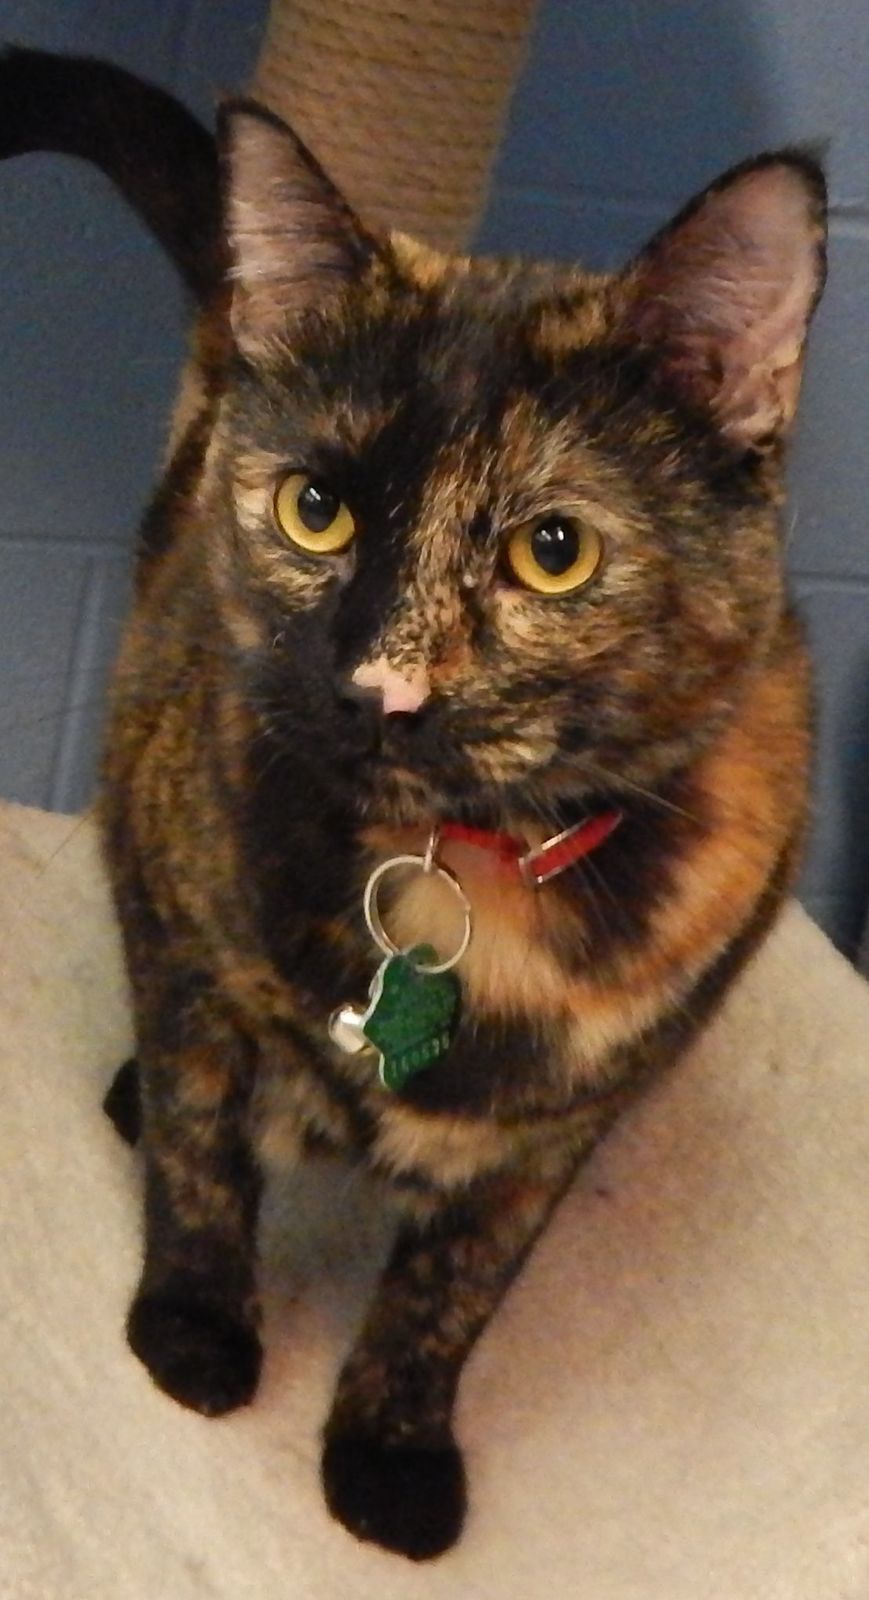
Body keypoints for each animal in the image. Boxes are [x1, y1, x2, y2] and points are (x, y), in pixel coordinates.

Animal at [1, 47, 826, 1561]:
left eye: (552, 552)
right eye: (315, 509)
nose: (379, 688)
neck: (454, 884)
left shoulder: (560, 1127)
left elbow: (453, 1290)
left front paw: (389, 1452)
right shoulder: (172, 880)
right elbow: (203, 1144)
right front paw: (195, 1325)